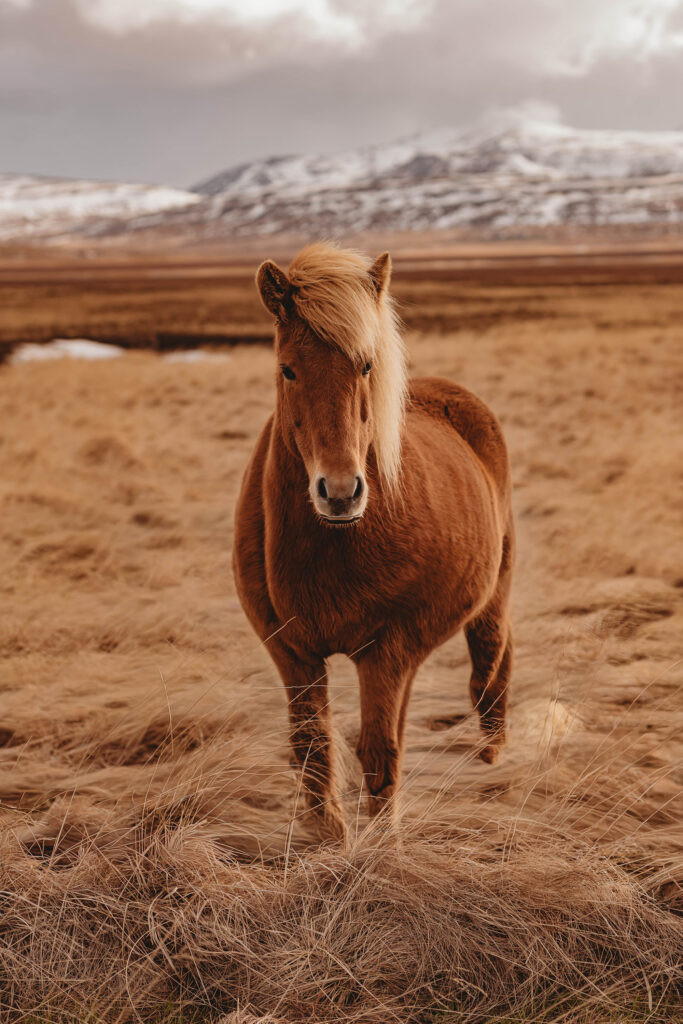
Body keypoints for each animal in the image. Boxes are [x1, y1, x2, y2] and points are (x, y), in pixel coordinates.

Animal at [233, 242, 514, 844]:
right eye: (287, 368)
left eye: (365, 366)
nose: (340, 493)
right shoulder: (292, 653)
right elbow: (313, 748)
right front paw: (327, 836)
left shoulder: (386, 652)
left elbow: (380, 754)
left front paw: (382, 846)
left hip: (493, 594)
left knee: (491, 657)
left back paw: (493, 752)